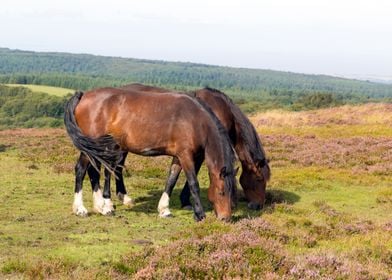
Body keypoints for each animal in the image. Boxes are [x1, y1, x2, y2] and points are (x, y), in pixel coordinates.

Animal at [64, 87, 236, 221]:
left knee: (93, 171)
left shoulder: (178, 156)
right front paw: (199, 214)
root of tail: (83, 95)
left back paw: (102, 207)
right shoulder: (186, 155)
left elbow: (171, 180)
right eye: (221, 192)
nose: (225, 218)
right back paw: (81, 209)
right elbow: (194, 183)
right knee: (81, 170)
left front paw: (164, 210)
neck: (195, 120)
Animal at [96, 83, 272, 217]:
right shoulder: (195, 154)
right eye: (259, 179)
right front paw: (188, 203)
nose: (258, 205)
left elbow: (173, 177)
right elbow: (192, 178)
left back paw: (122, 198)